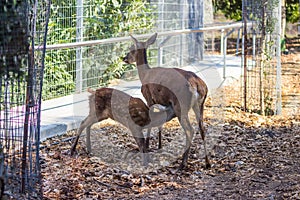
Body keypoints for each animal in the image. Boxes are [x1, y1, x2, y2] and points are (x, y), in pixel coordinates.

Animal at [122, 33, 211, 169]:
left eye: (132, 48)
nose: (124, 58)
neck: (144, 75)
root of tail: (198, 85)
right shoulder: (162, 103)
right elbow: (160, 123)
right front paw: (159, 145)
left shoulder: (149, 98)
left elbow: (151, 122)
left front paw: (147, 145)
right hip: (200, 105)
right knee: (202, 129)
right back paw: (207, 163)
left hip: (181, 105)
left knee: (190, 130)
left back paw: (183, 163)